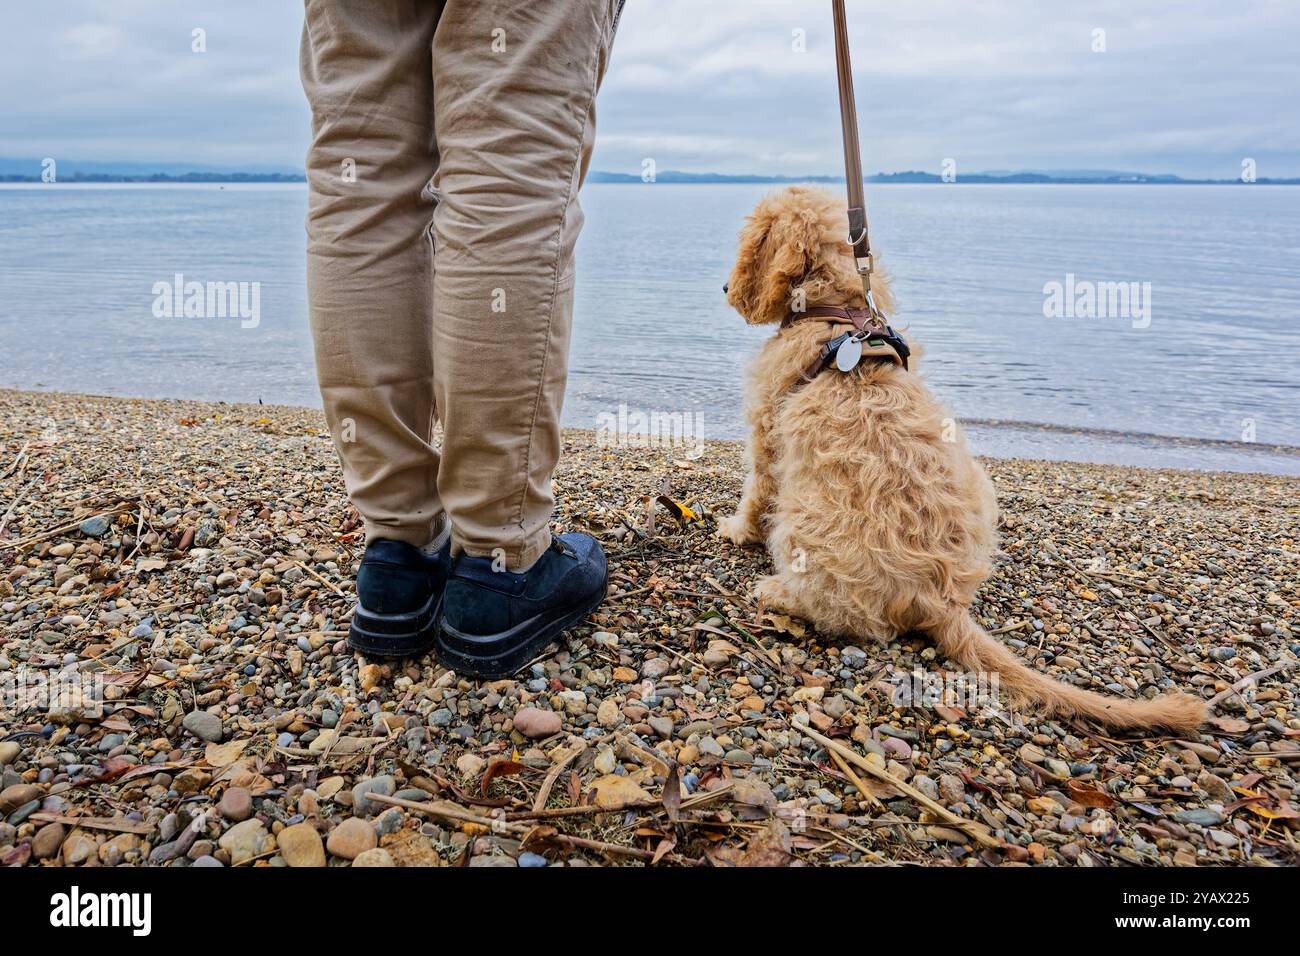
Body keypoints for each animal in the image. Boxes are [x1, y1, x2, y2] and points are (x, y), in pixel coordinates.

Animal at [717, 183, 1201, 733]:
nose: (725, 288)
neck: (836, 312)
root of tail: (942, 599)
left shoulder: (765, 435)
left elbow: (755, 492)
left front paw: (736, 530)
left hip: (802, 527)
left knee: (842, 613)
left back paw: (777, 592)